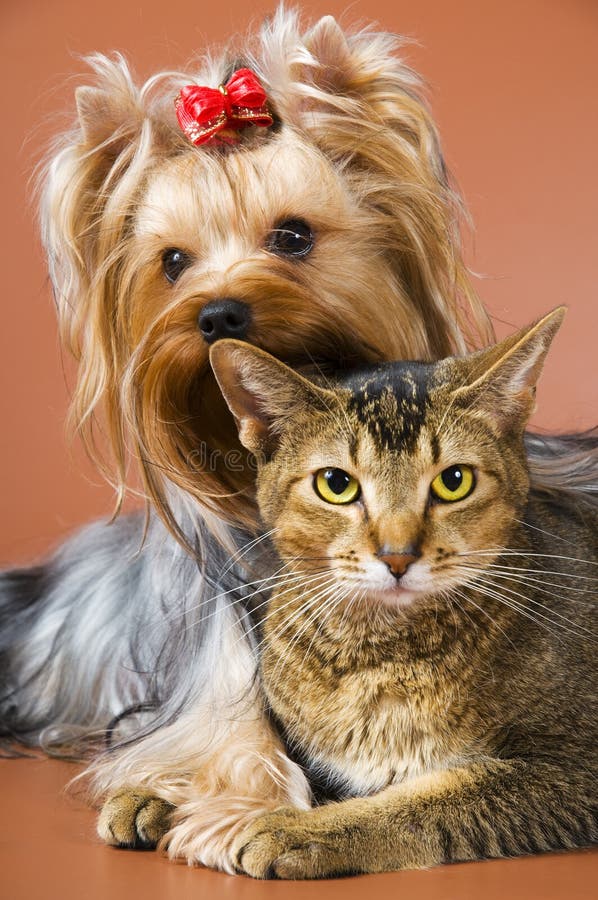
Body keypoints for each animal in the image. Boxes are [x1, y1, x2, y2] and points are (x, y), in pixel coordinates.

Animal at [210, 308, 598, 880]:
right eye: (336, 484)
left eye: (454, 480)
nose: (397, 555)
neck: (383, 656)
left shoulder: (576, 767)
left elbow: (428, 798)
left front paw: (304, 829)